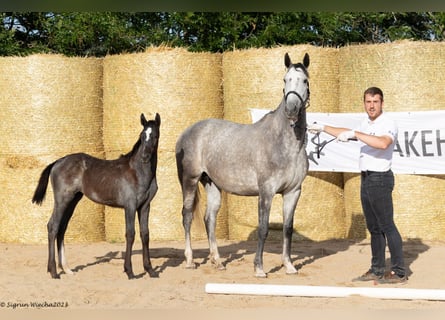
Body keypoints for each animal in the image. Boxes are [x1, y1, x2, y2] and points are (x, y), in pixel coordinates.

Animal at [174, 53, 308, 278]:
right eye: (285, 80)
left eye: (304, 80)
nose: (291, 109)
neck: (285, 143)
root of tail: (187, 132)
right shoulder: (266, 192)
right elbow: (263, 229)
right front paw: (259, 268)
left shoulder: (293, 191)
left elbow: (288, 229)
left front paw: (289, 266)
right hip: (189, 181)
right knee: (187, 216)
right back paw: (190, 260)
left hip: (212, 184)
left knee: (209, 218)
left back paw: (217, 261)